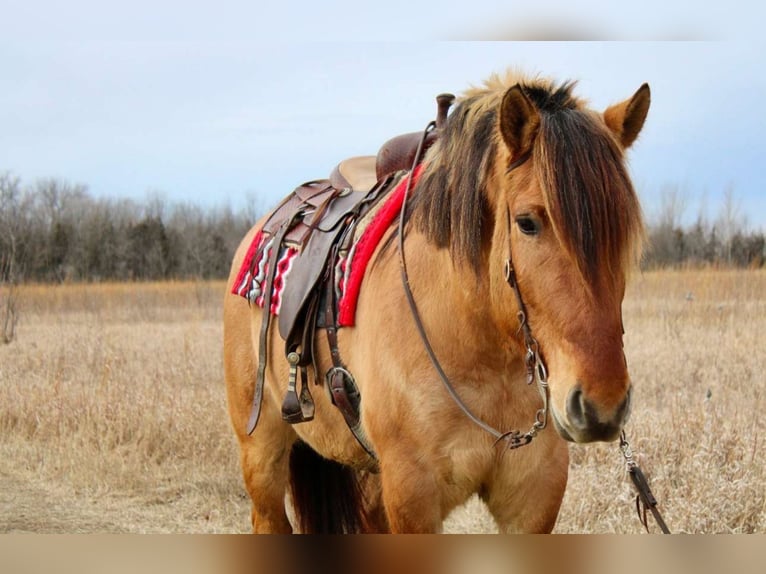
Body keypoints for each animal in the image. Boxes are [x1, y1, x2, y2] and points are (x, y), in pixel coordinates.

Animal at [224, 72, 656, 536]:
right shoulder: (412, 494)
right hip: (262, 452)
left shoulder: (534, 496)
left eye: (625, 231)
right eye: (526, 223)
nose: (601, 407)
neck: (478, 347)